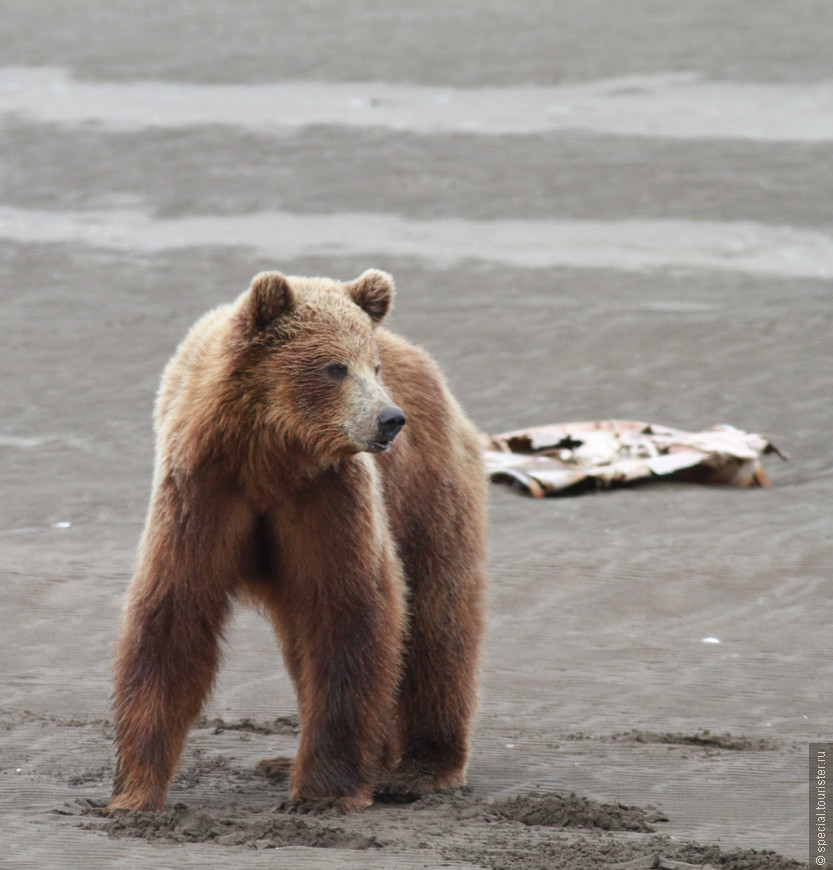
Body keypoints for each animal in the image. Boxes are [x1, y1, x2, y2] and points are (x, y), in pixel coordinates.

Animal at [109, 270, 488, 816]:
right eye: (335, 367)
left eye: (372, 366)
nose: (390, 419)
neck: (271, 454)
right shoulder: (203, 492)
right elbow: (172, 615)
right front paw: (135, 792)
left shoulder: (328, 497)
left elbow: (349, 614)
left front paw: (322, 792)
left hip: (427, 492)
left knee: (438, 621)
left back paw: (420, 768)